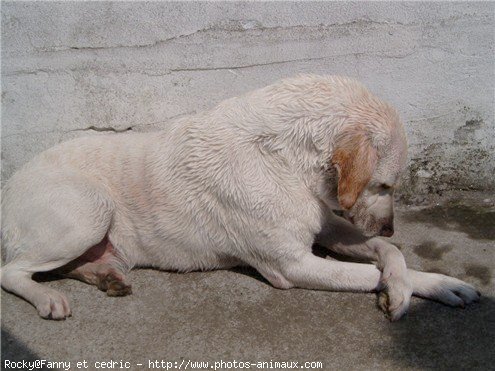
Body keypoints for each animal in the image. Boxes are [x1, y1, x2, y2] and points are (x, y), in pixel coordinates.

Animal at [0, 75, 480, 320]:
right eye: (384, 185)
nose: (392, 224)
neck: (281, 156)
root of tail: (8, 187)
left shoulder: (326, 223)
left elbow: (388, 254)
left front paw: (430, 282)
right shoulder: (292, 266)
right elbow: (372, 272)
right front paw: (407, 288)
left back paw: (106, 276)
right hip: (90, 210)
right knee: (11, 271)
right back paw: (47, 299)